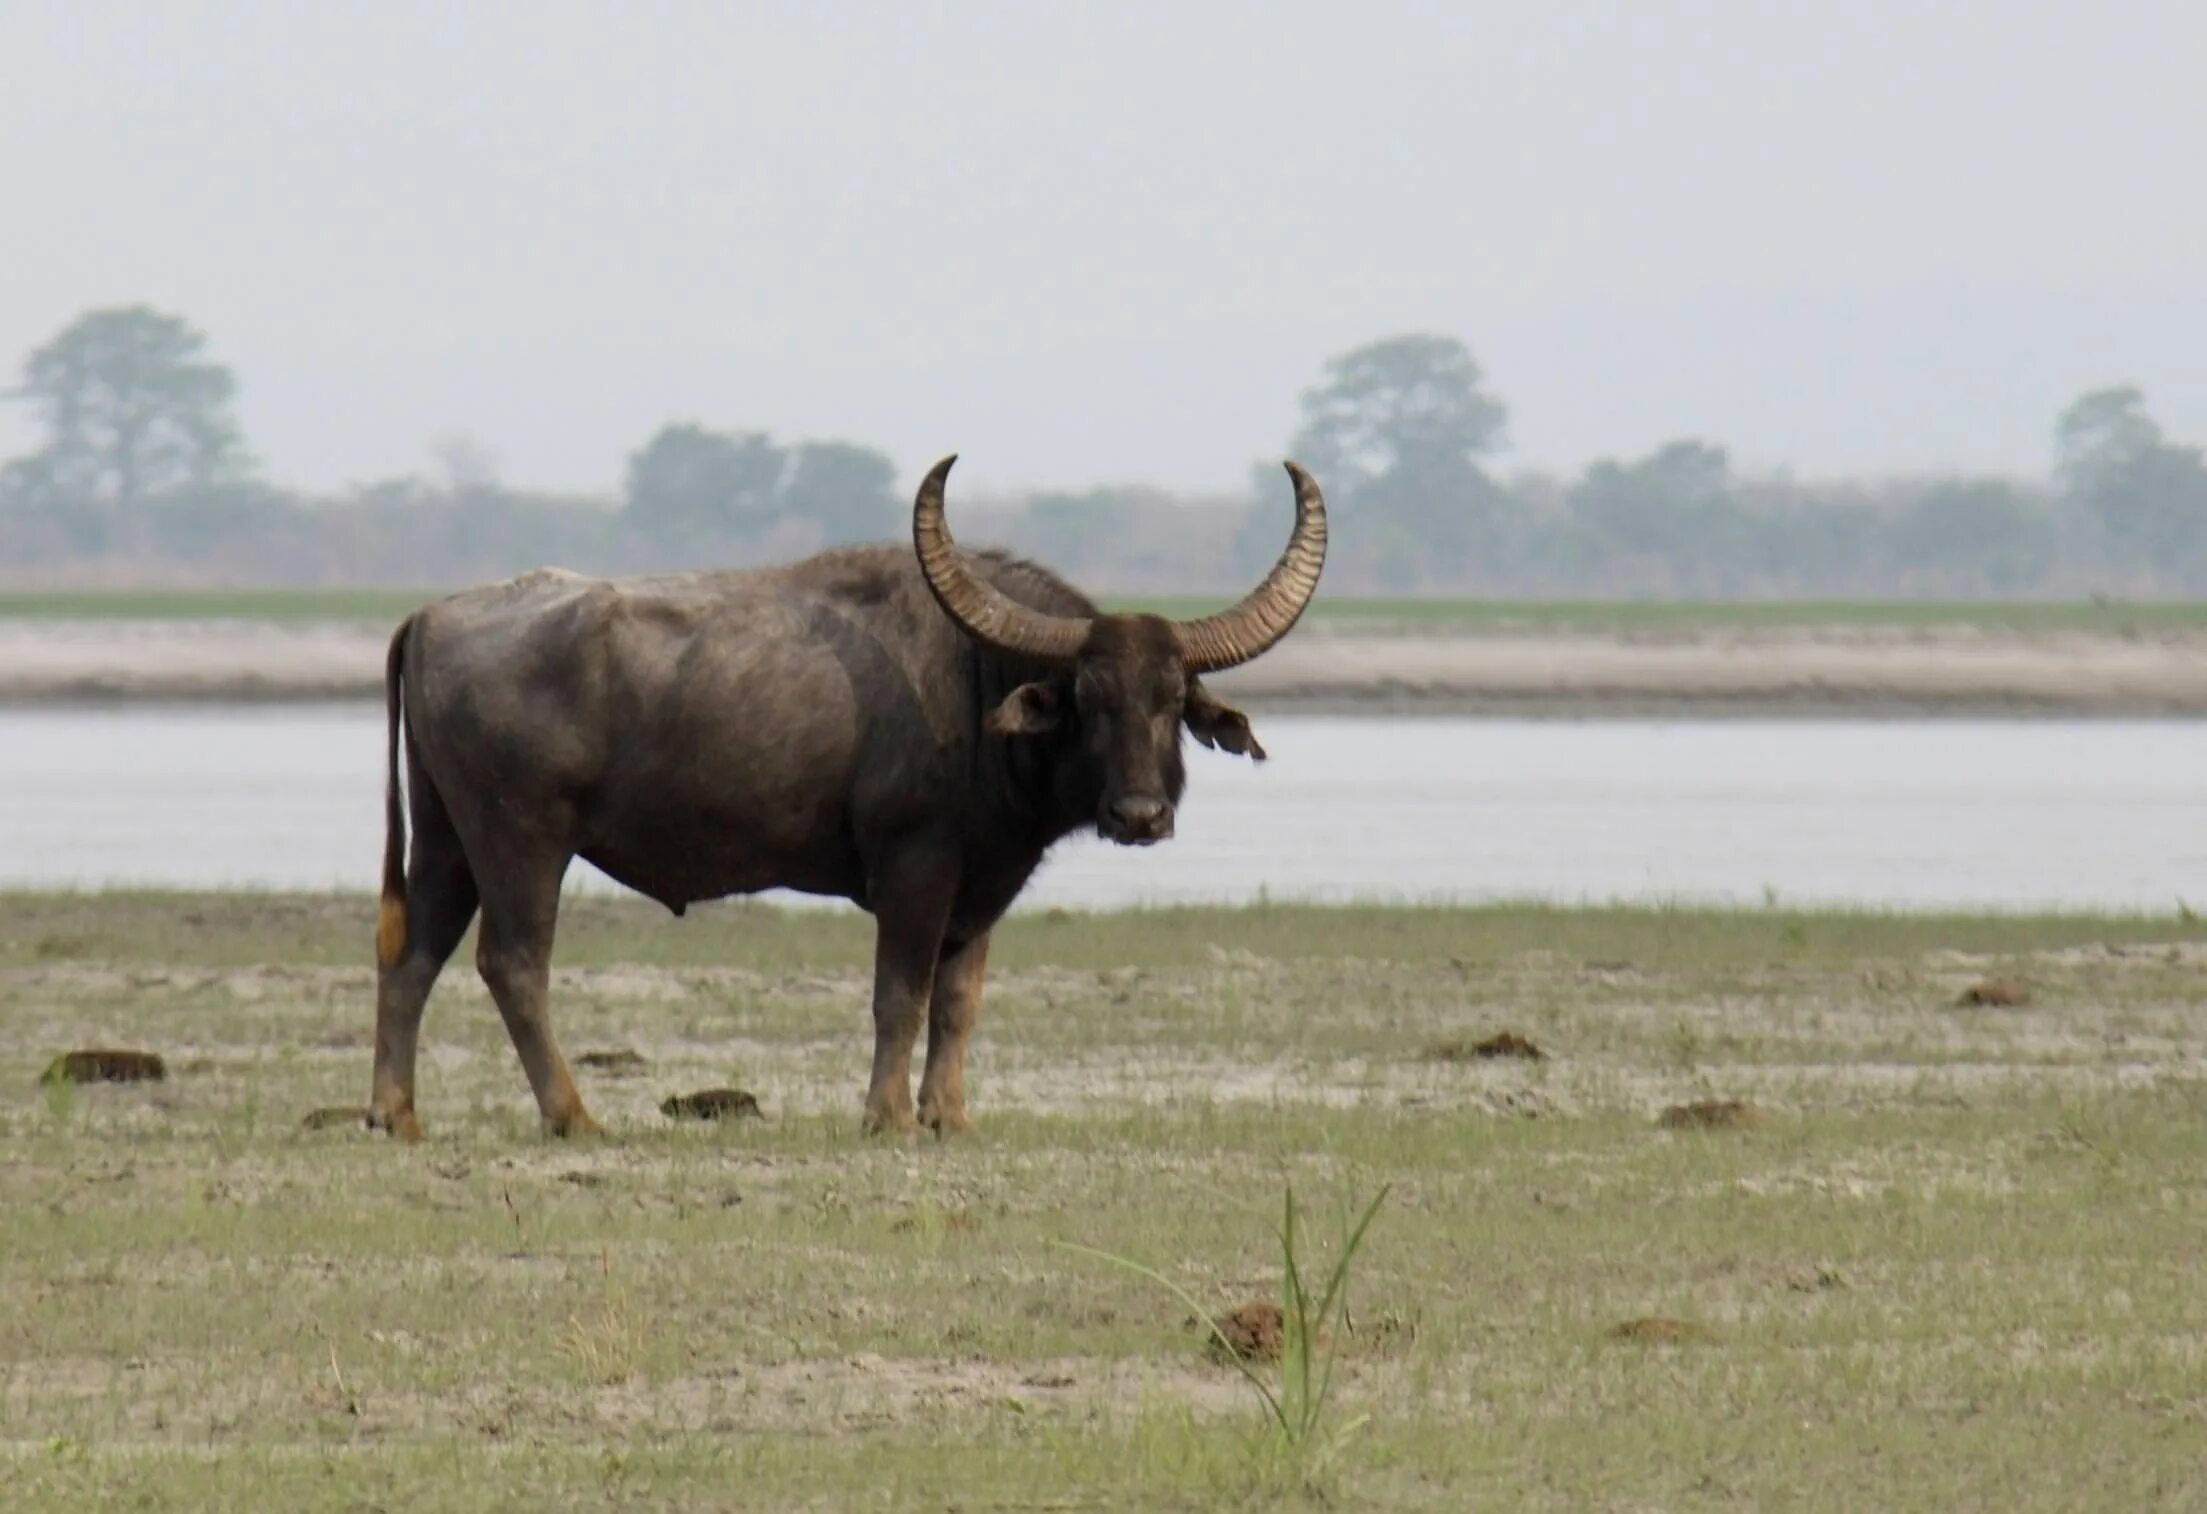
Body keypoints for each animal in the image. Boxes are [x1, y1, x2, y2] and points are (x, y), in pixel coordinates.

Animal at [366, 456, 1324, 1147]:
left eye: (1172, 698)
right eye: (1088, 697)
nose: (1138, 817)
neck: (976, 686)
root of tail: (430, 616)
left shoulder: (982, 888)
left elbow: (958, 999)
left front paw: (948, 1115)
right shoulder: (915, 868)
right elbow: (899, 992)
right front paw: (888, 1115)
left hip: (447, 839)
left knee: (412, 957)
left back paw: (395, 1112)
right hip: (522, 840)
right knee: (513, 964)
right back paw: (572, 1116)